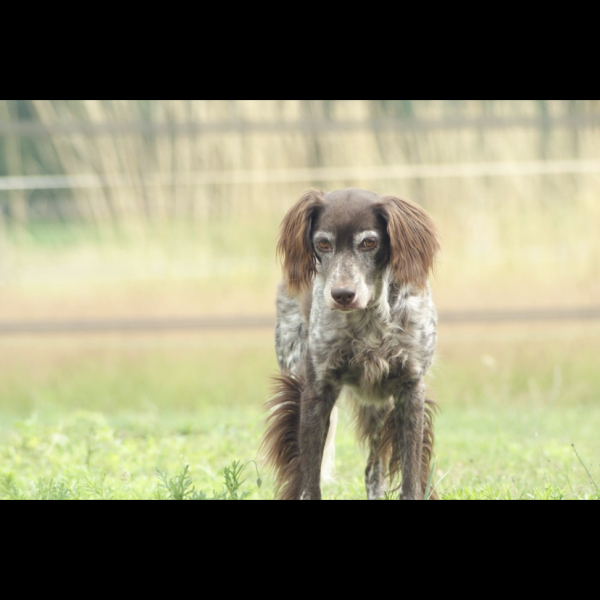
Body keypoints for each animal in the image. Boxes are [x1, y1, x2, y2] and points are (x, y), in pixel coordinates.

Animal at [262, 189, 440, 502]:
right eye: (323, 243)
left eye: (369, 242)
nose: (343, 294)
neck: (369, 322)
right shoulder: (316, 393)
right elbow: (309, 480)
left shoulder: (410, 390)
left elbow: (410, 477)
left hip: (378, 406)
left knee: (373, 470)